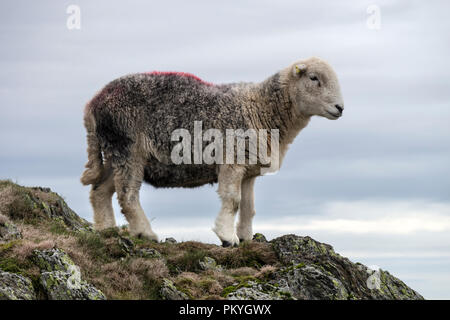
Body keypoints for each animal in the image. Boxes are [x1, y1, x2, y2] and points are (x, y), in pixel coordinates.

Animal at [81, 57, 344, 248]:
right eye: (314, 78)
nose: (340, 108)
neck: (260, 107)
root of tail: (93, 103)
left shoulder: (248, 169)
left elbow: (248, 206)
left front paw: (245, 237)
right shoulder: (232, 160)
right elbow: (233, 200)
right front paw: (227, 237)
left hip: (113, 153)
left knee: (99, 191)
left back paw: (106, 229)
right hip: (127, 147)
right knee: (127, 195)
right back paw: (145, 233)